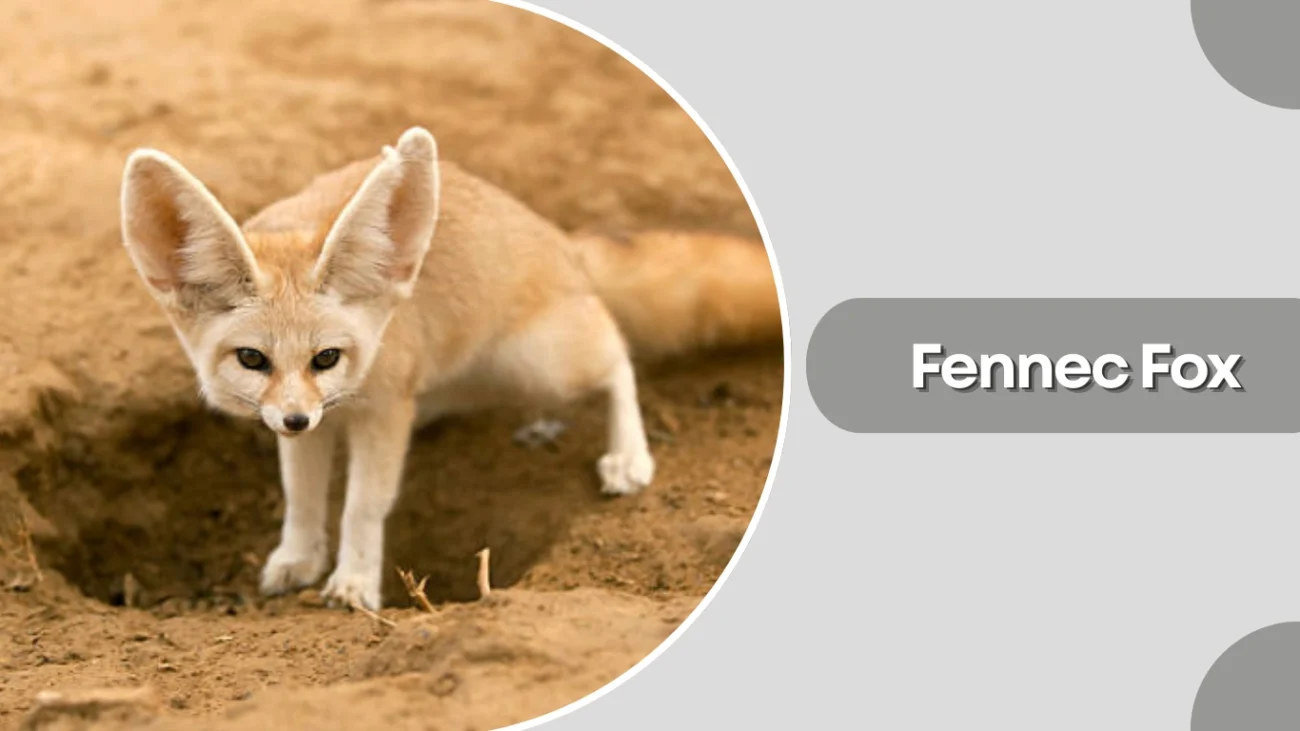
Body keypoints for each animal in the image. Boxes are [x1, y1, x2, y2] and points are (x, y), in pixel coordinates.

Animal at [118, 126, 781, 610]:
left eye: (326, 357)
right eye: (252, 359)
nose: (296, 419)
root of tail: (560, 239)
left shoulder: (383, 411)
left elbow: (362, 505)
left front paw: (354, 582)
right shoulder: (315, 423)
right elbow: (301, 497)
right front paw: (300, 558)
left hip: (541, 360)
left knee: (617, 353)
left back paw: (627, 455)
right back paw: (539, 423)